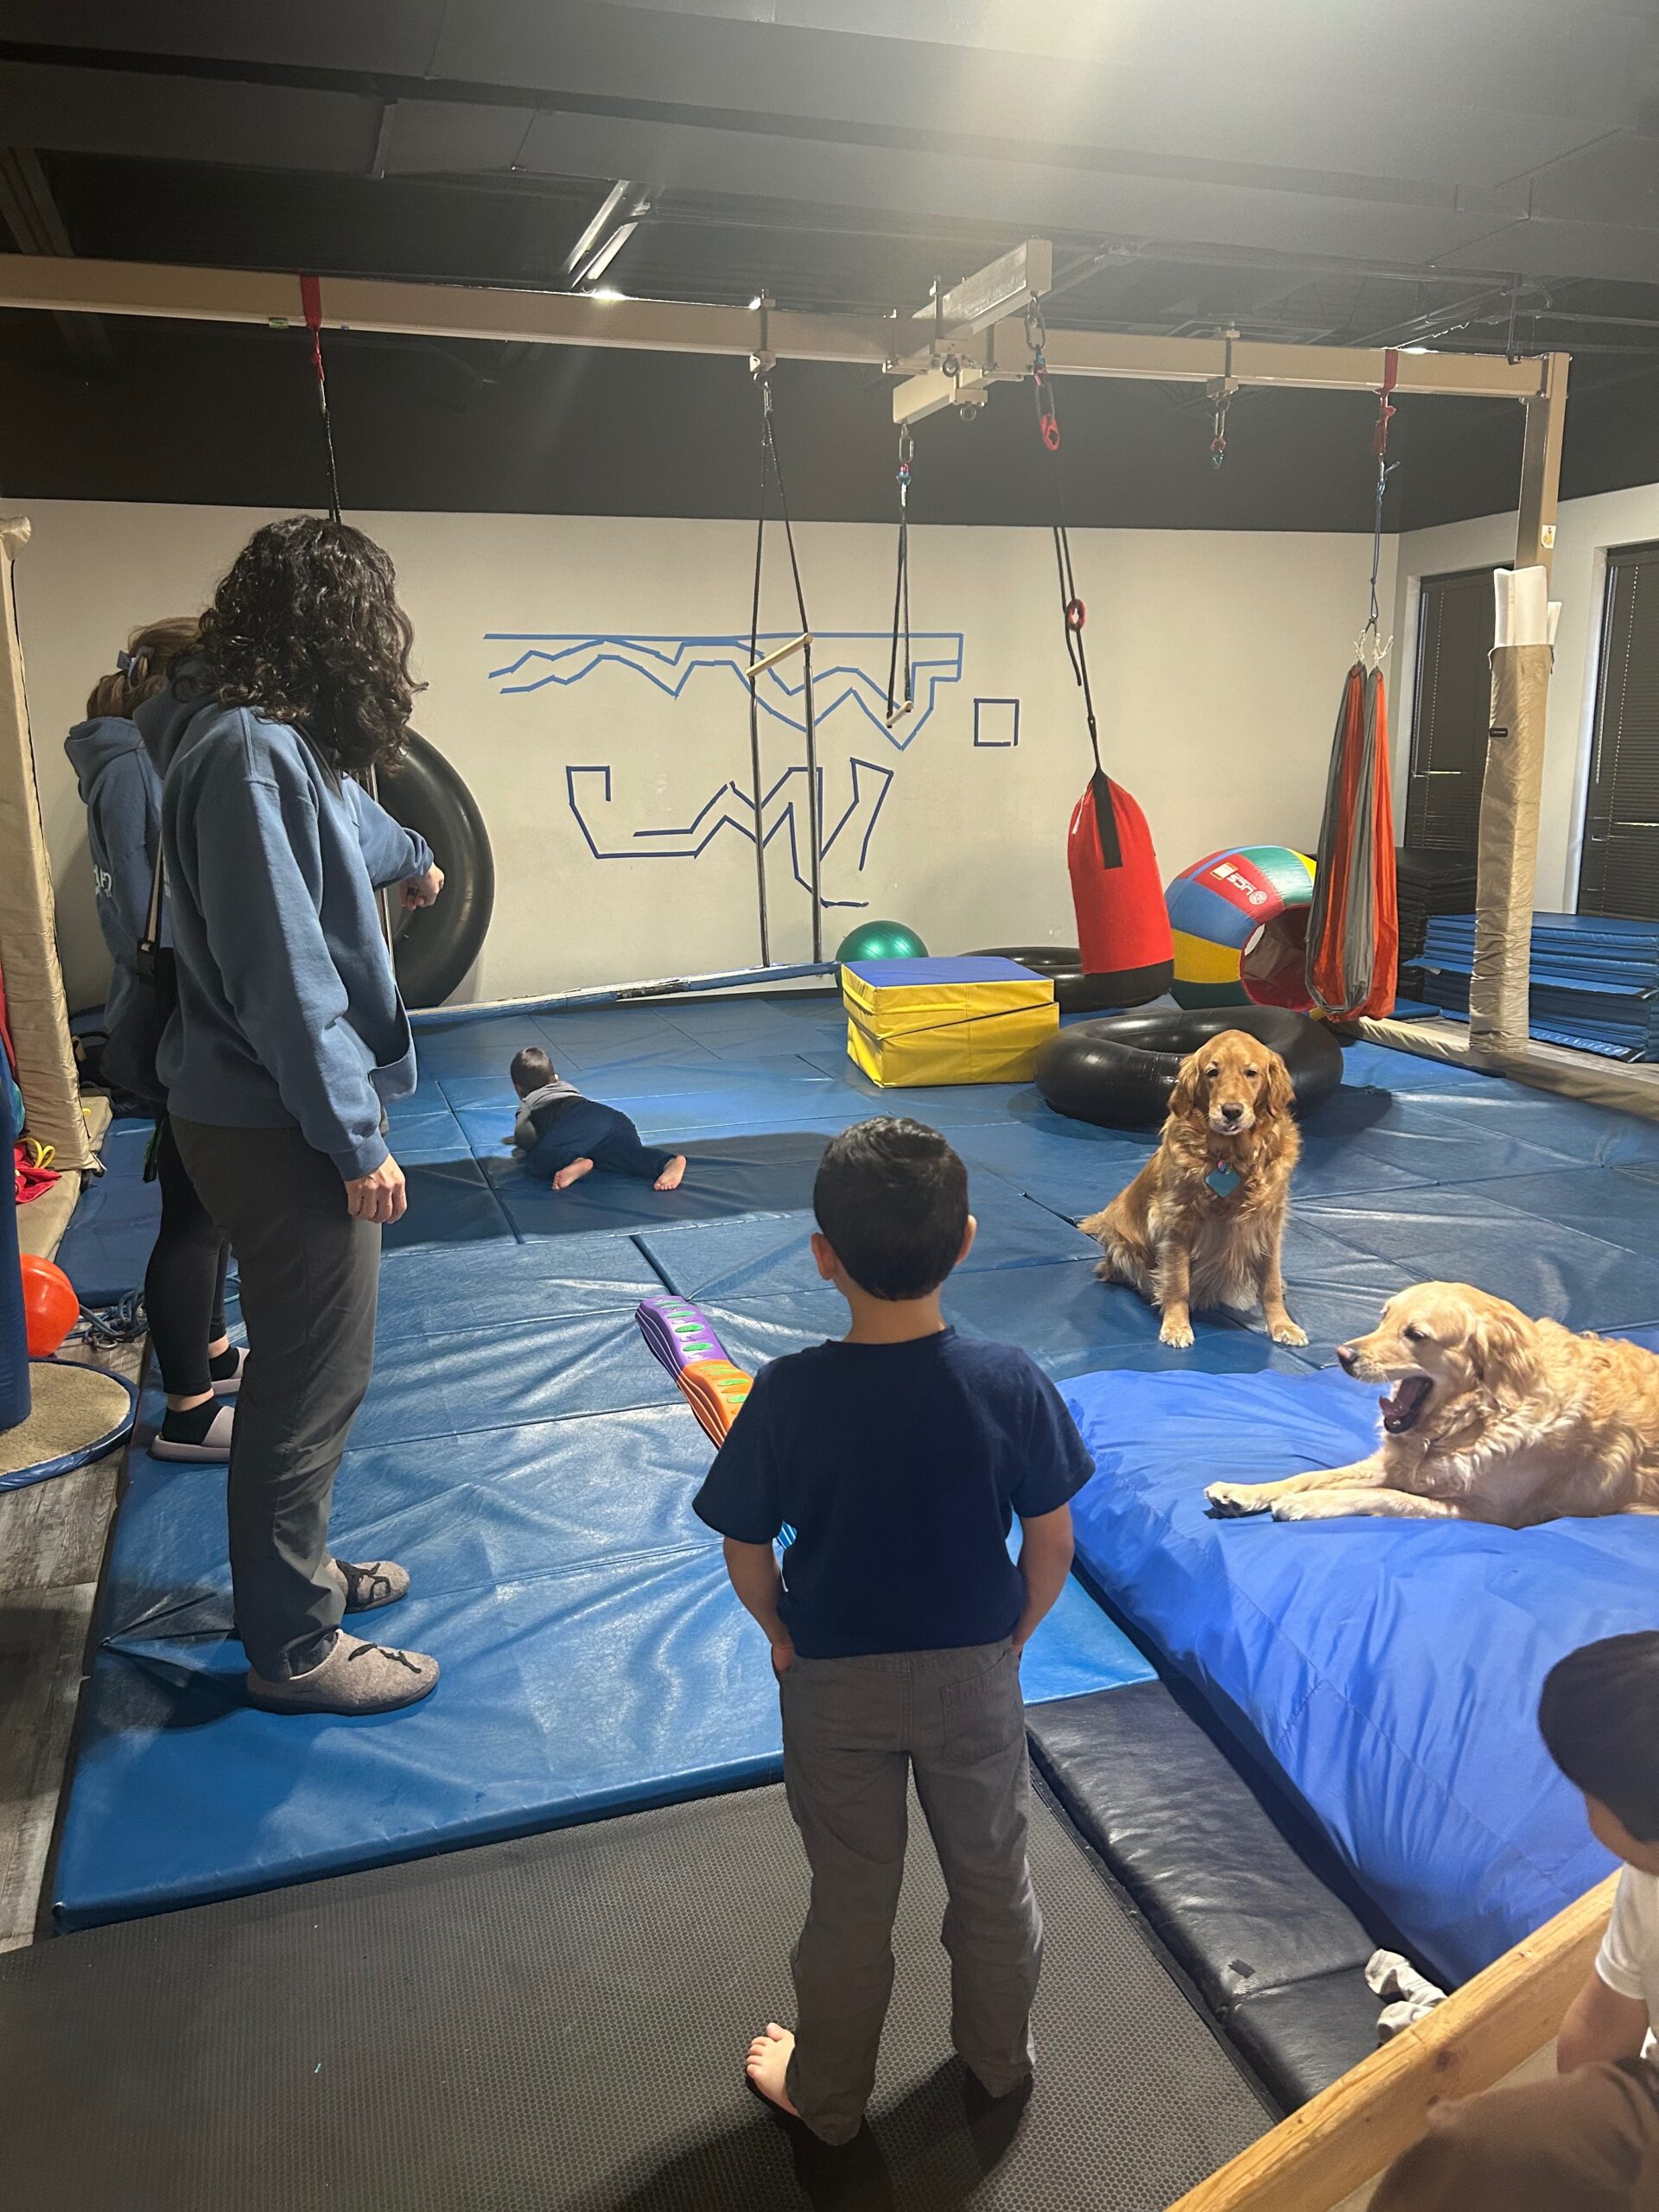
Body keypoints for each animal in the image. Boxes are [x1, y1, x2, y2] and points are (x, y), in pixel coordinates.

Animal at [1079, 1029, 1305, 1351]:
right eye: (1212, 1072)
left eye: (1251, 1073)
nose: (1231, 1111)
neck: (1230, 1158)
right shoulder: (1176, 1222)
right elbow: (1177, 1281)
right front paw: (1176, 1325)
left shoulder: (1267, 1223)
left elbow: (1270, 1281)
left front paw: (1282, 1324)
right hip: (1121, 1246)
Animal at [1206, 1282, 1659, 1526]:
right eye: (1384, 1317)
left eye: (1416, 1335)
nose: (1342, 1355)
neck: (1475, 1420)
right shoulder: (1393, 1464)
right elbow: (1310, 1475)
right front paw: (1242, 1491)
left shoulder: (1482, 1514)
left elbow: (1382, 1496)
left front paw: (1307, 1504)